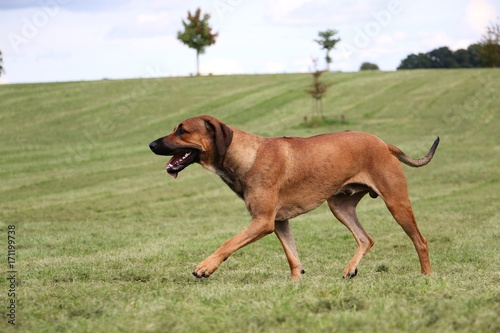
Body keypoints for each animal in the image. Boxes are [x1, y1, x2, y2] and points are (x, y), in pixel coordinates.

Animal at [148, 115, 438, 278]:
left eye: (182, 130)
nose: (151, 144)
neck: (245, 155)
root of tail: (383, 143)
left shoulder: (262, 221)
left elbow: (229, 243)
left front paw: (205, 266)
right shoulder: (279, 222)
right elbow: (292, 256)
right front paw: (295, 282)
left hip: (396, 202)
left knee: (420, 240)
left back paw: (426, 275)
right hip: (339, 206)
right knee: (366, 239)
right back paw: (350, 269)